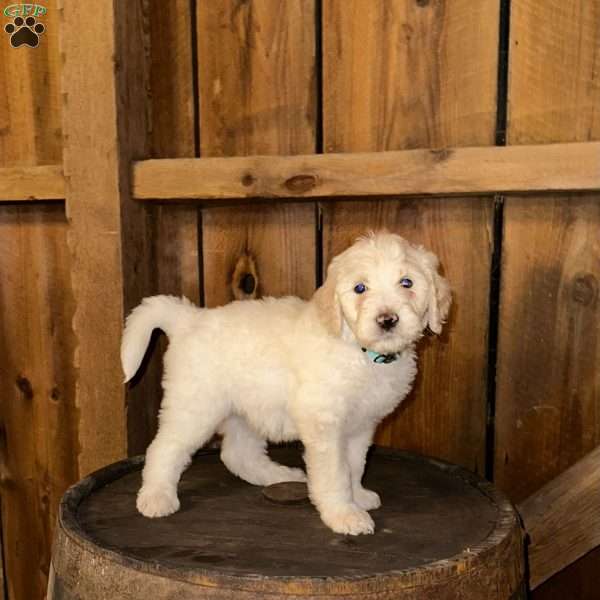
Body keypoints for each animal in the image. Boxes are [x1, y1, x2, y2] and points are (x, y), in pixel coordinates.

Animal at [122, 230, 450, 536]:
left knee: (237, 454)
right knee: (163, 448)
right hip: (195, 406)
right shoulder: (324, 423)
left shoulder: (360, 426)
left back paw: (281, 476)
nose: (387, 320)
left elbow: (354, 466)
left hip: (247, 407)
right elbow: (335, 473)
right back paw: (156, 497)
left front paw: (357, 497)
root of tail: (189, 318)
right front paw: (344, 514)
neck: (359, 351)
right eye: (360, 288)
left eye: (407, 283)